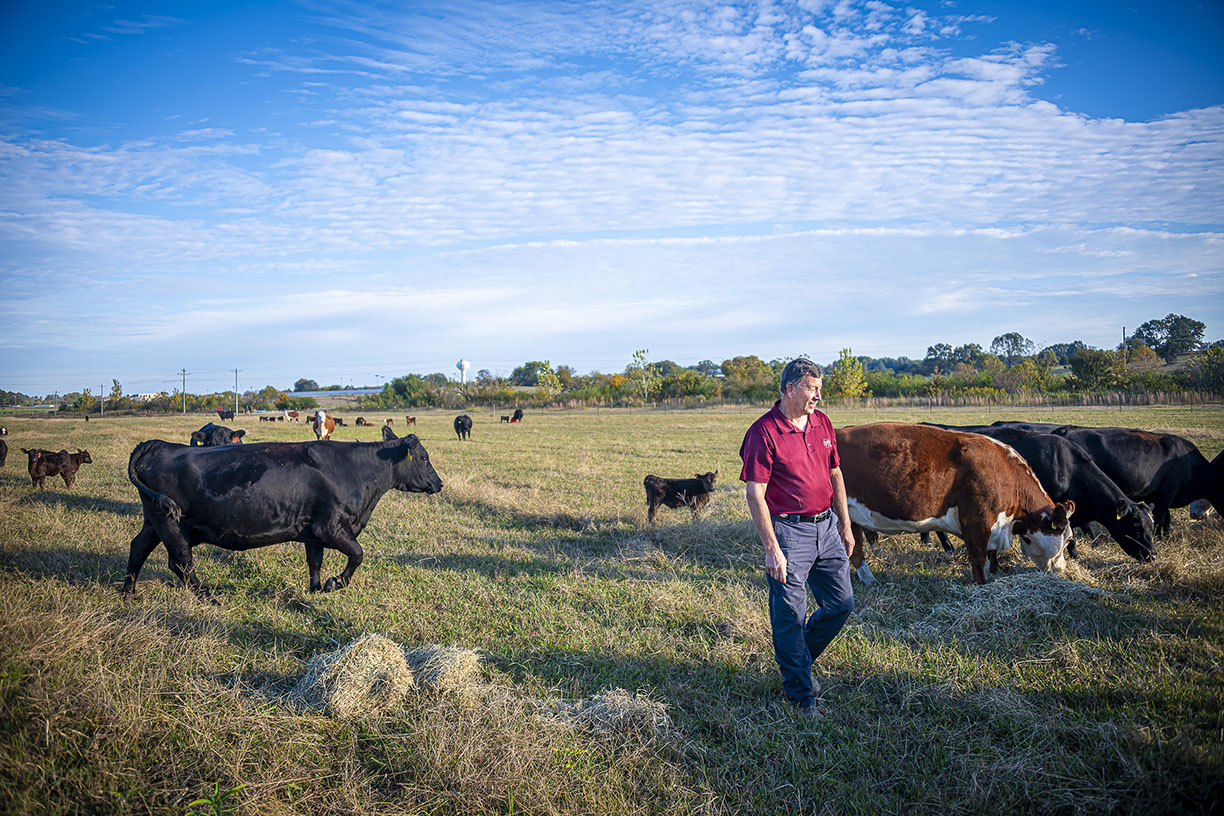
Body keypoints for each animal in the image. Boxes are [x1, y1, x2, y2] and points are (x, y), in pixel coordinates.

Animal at [123, 433, 445, 599]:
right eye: (424, 458)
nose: (440, 483)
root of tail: (158, 445)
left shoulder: (313, 532)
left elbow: (315, 562)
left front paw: (315, 590)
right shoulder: (331, 527)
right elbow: (357, 554)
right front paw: (334, 583)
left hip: (154, 521)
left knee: (138, 547)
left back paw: (128, 592)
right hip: (171, 524)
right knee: (181, 562)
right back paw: (209, 597)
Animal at [837, 425, 1077, 584]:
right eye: (1066, 541)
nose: (1063, 569)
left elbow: (988, 558)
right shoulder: (978, 521)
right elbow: (979, 559)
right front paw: (983, 586)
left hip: (851, 516)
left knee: (856, 551)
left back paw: (869, 579)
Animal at [1047, 428, 1224, 535]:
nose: (1194, 515)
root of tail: (1064, 429)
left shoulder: (1157, 497)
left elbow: (1165, 520)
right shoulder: (1165, 495)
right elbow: (1161, 520)